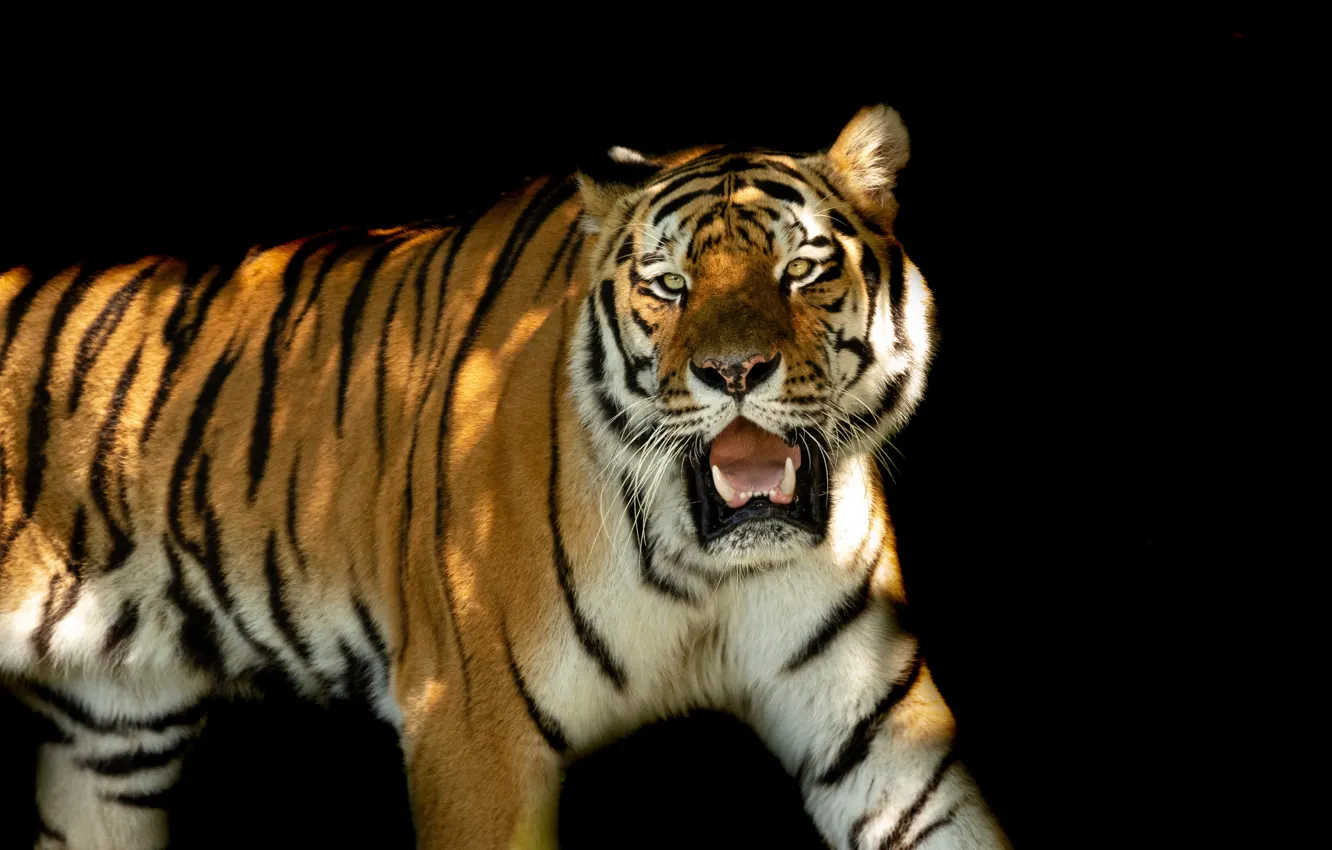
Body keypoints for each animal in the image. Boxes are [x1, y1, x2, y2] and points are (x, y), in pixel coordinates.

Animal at [0, 105, 1010, 850]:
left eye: (801, 269)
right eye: (670, 284)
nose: (734, 372)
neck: (702, 569)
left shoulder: (882, 734)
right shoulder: (469, 732)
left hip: (113, 738)